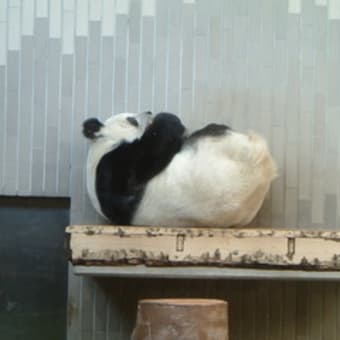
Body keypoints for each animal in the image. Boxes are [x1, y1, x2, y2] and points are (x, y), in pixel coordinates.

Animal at [82, 111, 276, 227]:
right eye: (131, 119)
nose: (149, 112)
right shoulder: (114, 168)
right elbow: (150, 152)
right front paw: (166, 118)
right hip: (220, 147)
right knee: (212, 130)